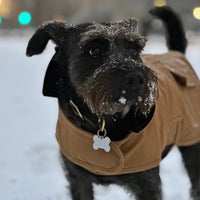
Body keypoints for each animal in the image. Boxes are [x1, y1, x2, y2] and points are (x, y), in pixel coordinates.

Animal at [26, 6, 200, 200]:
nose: (137, 78)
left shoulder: (148, 182)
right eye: (94, 50)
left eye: (134, 50)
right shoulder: (78, 179)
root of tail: (176, 54)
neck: (104, 120)